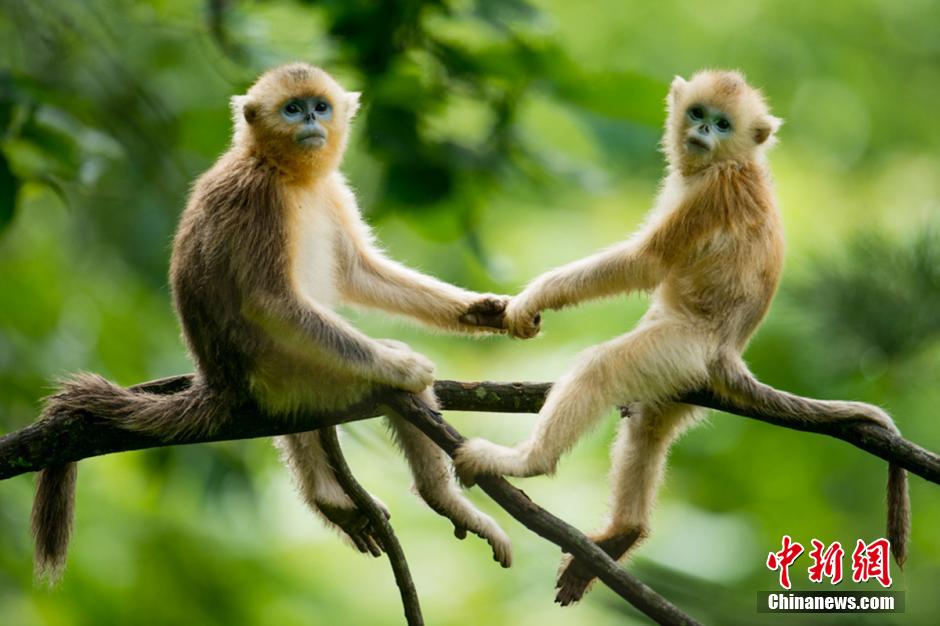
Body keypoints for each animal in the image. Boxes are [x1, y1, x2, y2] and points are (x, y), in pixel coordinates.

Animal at [33, 63, 516, 580]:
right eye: (292, 108)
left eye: (320, 106)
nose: (310, 119)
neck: (283, 171)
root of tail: (222, 383)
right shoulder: (260, 198)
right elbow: (272, 303)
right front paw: (404, 367)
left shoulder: (331, 192)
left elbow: (358, 273)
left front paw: (480, 310)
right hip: (293, 373)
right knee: (380, 384)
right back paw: (431, 492)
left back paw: (339, 498)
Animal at [456, 70, 912, 604]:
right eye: (698, 113)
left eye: (723, 123)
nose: (704, 131)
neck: (733, 163)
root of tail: (726, 354)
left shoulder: (714, 191)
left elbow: (646, 263)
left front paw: (532, 299)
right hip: (679, 374)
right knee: (648, 425)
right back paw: (622, 535)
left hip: (679, 349)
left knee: (599, 370)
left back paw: (528, 461)